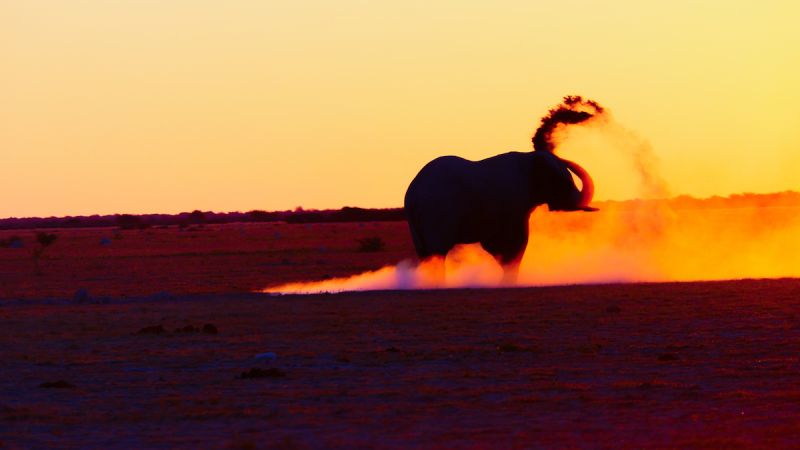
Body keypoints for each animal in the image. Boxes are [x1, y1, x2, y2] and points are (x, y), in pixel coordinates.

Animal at [406, 149, 592, 280]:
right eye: (564, 183)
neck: (529, 158)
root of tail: (413, 196)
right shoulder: (513, 206)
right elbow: (514, 242)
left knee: (426, 256)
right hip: (437, 215)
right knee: (437, 254)